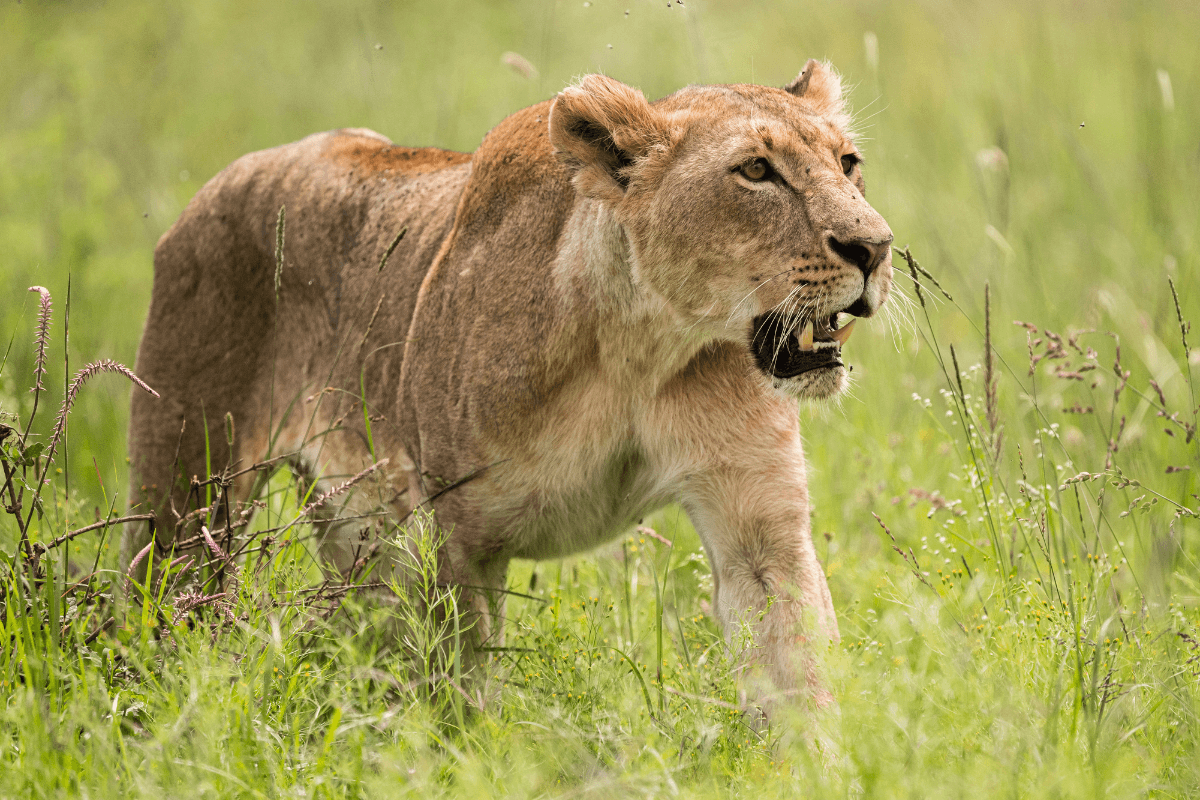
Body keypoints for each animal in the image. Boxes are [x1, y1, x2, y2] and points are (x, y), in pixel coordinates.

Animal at [126, 59, 893, 708]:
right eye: (756, 170)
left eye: (848, 164)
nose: (875, 248)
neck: (641, 349)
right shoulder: (455, 534)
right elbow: (463, 691)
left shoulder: (759, 527)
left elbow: (798, 673)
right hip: (188, 507)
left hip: (359, 543)